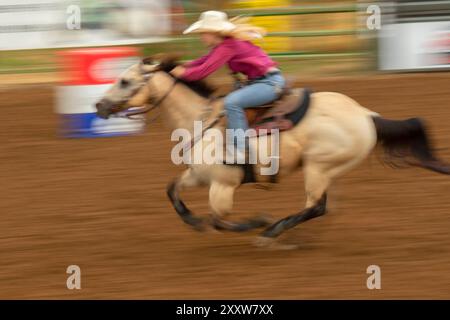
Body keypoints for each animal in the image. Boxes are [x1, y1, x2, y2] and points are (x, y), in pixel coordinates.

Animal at [95, 54, 450, 248]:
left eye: (125, 81)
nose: (99, 106)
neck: (203, 121)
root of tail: (367, 115)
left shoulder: (223, 185)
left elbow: (220, 219)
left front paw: (257, 221)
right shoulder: (197, 176)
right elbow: (173, 191)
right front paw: (193, 222)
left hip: (317, 167)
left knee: (315, 206)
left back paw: (271, 232)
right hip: (329, 170)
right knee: (326, 207)